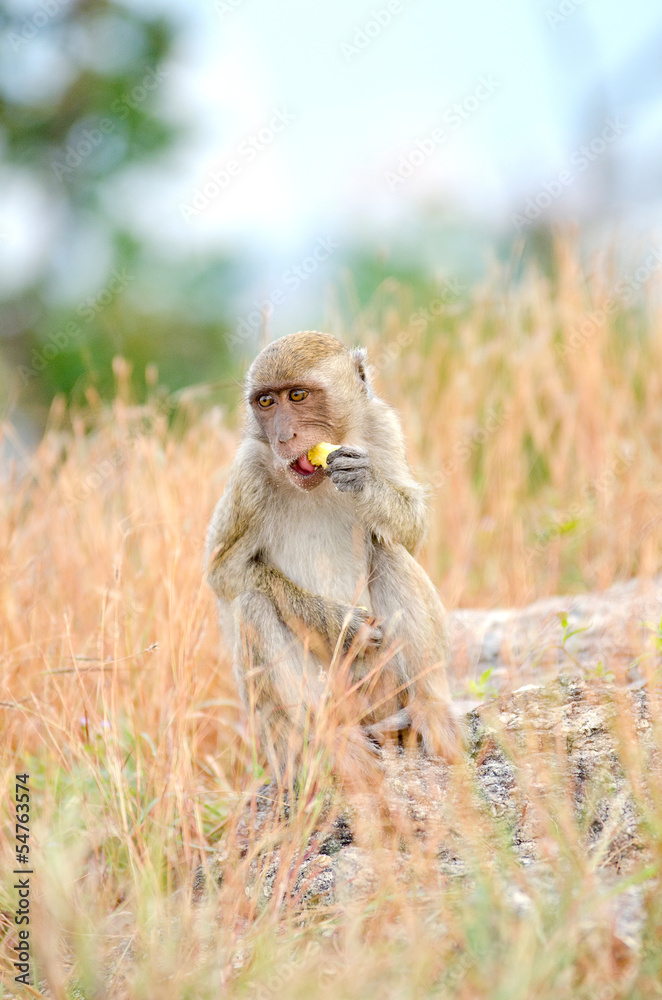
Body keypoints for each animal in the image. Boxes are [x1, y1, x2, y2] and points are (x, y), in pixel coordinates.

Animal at [206, 330, 459, 786]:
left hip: (385, 688)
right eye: (266, 402)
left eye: (297, 395)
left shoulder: (382, 426)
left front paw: (364, 481)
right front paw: (341, 624)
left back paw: (429, 709)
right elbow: (225, 574)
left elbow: (410, 534)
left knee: (388, 551)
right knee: (253, 606)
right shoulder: (248, 473)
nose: (283, 437)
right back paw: (333, 742)